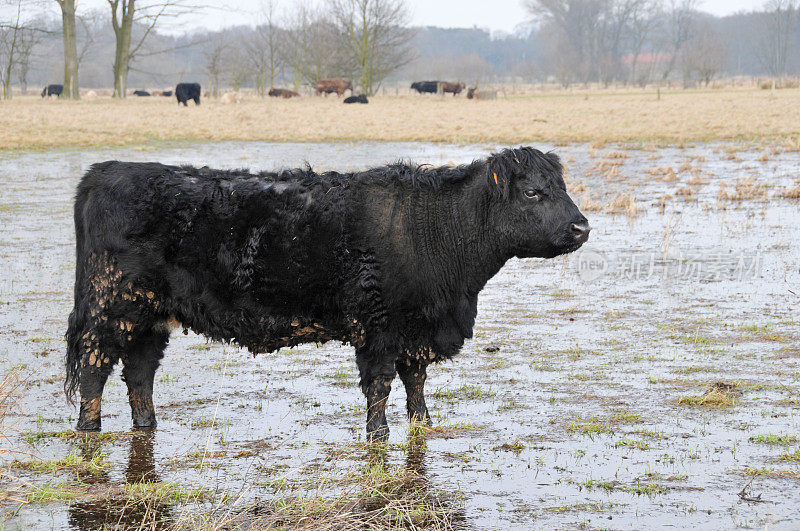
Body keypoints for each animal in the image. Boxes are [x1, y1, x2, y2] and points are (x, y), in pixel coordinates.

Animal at [67, 147, 588, 440]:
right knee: (95, 368)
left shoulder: (416, 332)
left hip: (150, 318)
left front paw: (423, 424)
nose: (582, 227)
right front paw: (378, 434)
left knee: (139, 374)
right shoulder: (378, 328)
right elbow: (379, 385)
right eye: (534, 193)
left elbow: (416, 382)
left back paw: (146, 426)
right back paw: (89, 430)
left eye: (561, 187)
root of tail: (105, 171)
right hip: (111, 308)